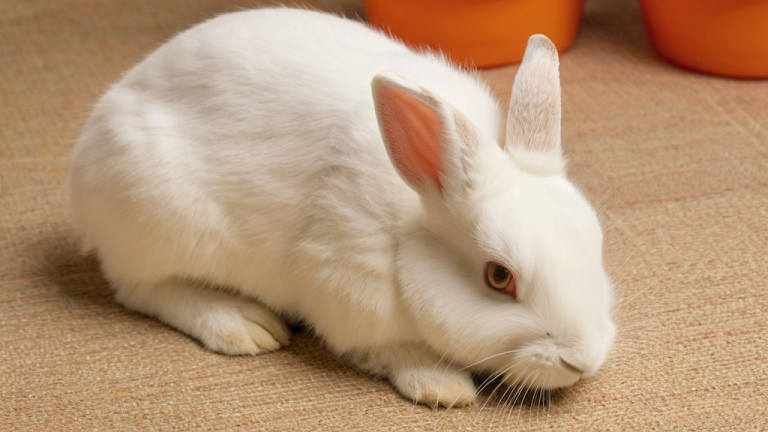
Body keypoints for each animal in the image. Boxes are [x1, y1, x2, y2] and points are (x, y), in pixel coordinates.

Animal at [67, 7, 616, 408]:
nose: (583, 359)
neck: (404, 235)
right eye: (499, 277)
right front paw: (443, 386)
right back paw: (243, 325)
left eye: (596, 246)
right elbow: (392, 349)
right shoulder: (342, 293)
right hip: (160, 223)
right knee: (141, 289)